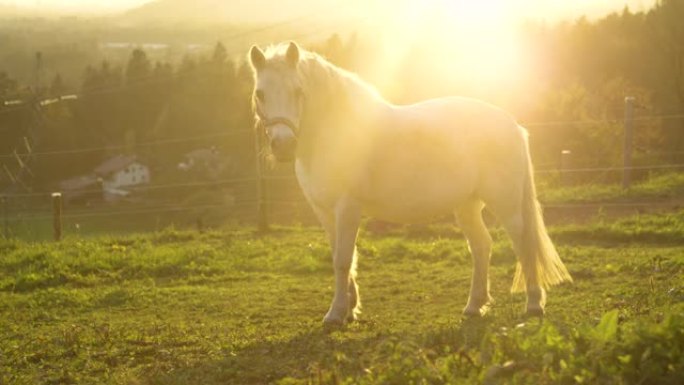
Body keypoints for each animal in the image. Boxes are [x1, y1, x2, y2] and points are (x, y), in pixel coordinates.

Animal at [248, 42, 568, 324]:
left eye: (298, 91)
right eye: (260, 93)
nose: (284, 146)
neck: (337, 133)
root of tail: (513, 125)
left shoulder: (347, 208)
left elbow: (343, 259)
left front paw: (336, 315)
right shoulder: (325, 212)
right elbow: (342, 257)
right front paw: (350, 309)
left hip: (506, 204)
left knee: (523, 244)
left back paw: (533, 305)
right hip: (467, 206)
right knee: (481, 246)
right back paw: (474, 306)